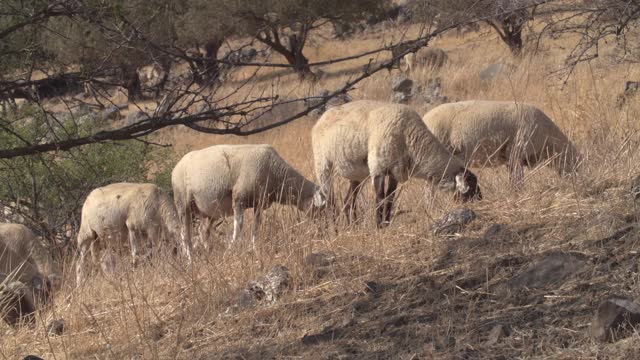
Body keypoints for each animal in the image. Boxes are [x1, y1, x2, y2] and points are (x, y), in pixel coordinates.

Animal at [171, 143, 324, 248]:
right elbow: (238, 226)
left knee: (203, 232)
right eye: (323, 207)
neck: (276, 173)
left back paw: (208, 252)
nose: (326, 229)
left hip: (209, 212)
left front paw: (254, 246)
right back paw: (190, 261)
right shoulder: (239, 198)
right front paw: (233, 247)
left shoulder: (259, 204)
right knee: (185, 236)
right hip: (183, 205)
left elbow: (256, 226)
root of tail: (175, 168)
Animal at [310, 100, 480, 226]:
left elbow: (390, 198)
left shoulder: (395, 172)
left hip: (357, 173)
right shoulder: (378, 168)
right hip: (322, 164)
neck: (410, 138)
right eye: (471, 188)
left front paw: (385, 224)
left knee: (348, 202)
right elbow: (380, 198)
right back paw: (335, 228)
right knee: (330, 200)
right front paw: (378, 226)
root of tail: (322, 117)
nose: (480, 201)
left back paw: (354, 227)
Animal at [422, 100, 584, 183]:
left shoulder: (511, 160)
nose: (581, 183)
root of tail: (425, 118)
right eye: (576, 164)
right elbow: (517, 182)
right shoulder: (516, 154)